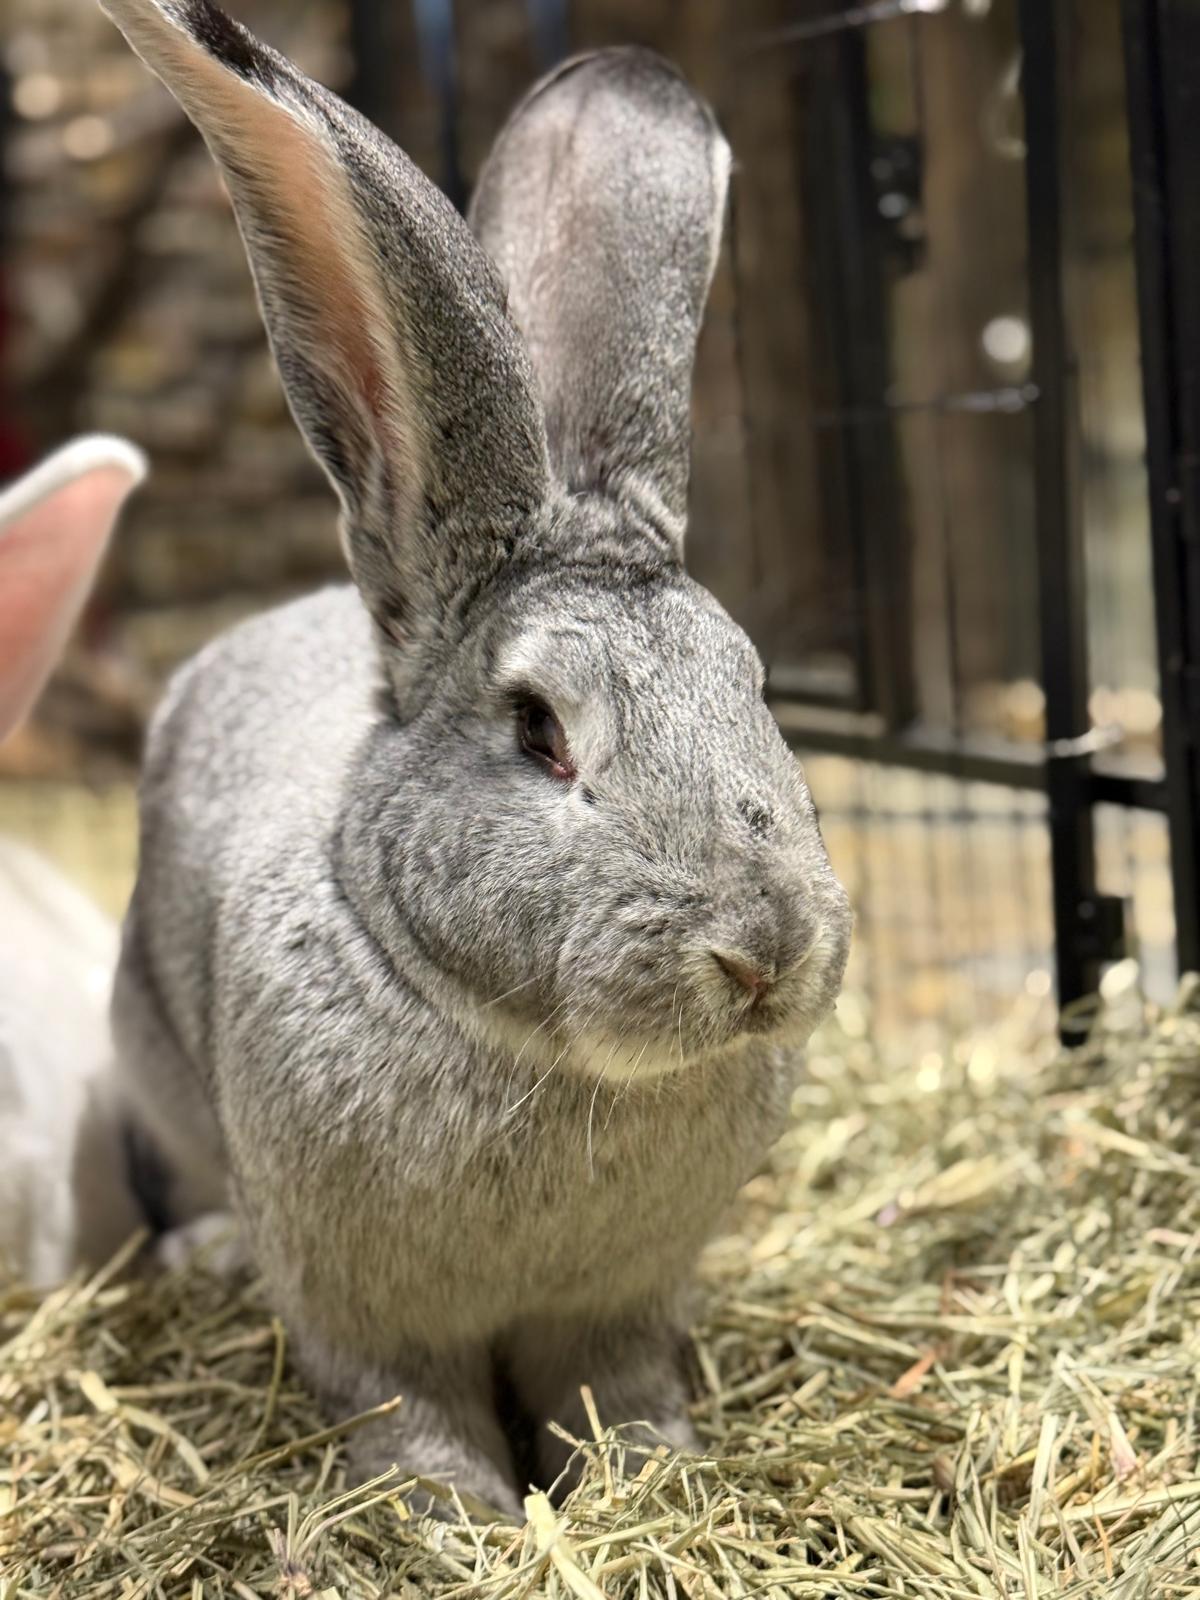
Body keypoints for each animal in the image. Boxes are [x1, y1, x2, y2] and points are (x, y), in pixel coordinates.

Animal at [100, 0, 853, 1515]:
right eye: (540, 732)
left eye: (755, 687)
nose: (765, 954)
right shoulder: (362, 1312)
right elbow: (406, 1405)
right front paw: (456, 1512)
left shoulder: (616, 1303)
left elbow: (611, 1389)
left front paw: (650, 1476)